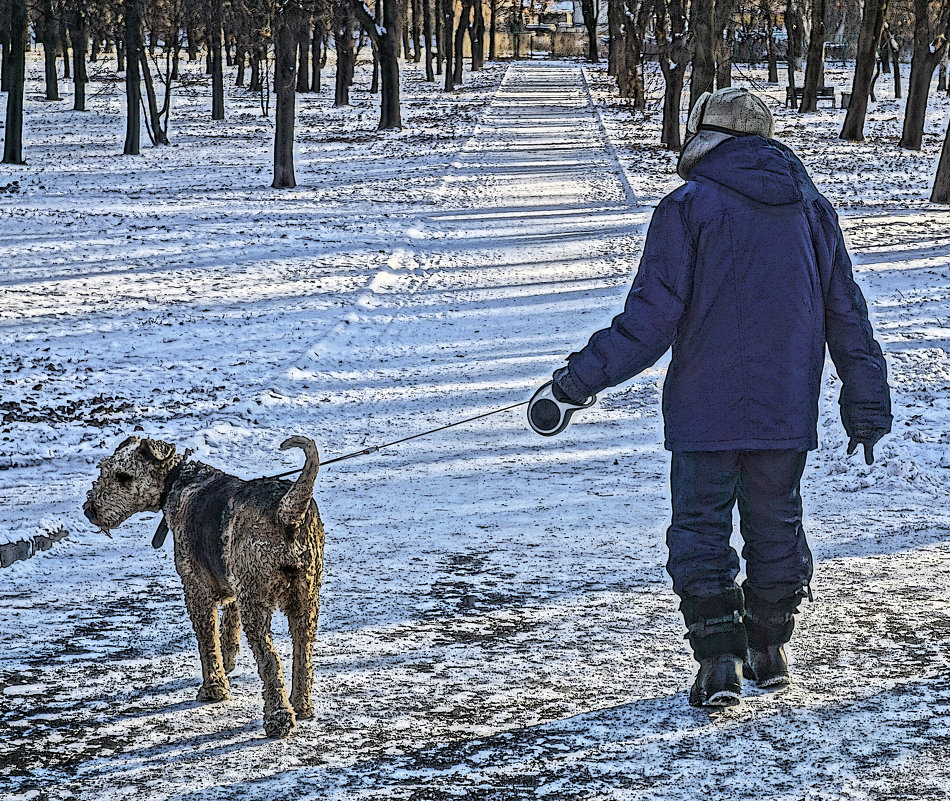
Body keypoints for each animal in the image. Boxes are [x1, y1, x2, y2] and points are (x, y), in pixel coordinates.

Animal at [80, 438, 324, 736]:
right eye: (104, 468)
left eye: (123, 476)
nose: (89, 510)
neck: (177, 481)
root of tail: (287, 511)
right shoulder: (232, 583)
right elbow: (229, 626)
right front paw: (228, 662)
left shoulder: (196, 587)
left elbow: (207, 640)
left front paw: (214, 689)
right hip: (305, 596)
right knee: (304, 653)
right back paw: (301, 706)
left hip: (258, 600)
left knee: (270, 659)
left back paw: (278, 718)